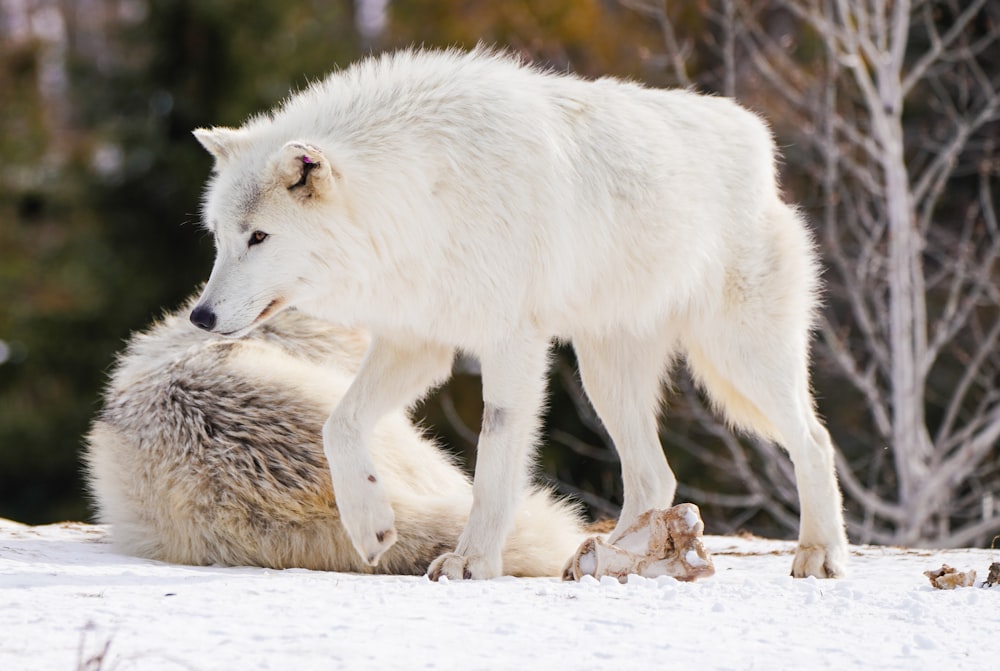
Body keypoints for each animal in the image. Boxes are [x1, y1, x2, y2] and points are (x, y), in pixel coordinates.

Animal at [191, 48, 848, 584]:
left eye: (259, 237)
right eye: (218, 237)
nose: (200, 316)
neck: (423, 191)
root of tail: (755, 135)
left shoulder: (512, 345)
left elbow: (493, 466)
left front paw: (471, 562)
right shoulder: (417, 343)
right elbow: (338, 425)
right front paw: (370, 526)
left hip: (740, 360)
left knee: (815, 440)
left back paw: (819, 554)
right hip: (605, 379)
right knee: (654, 477)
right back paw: (613, 560)